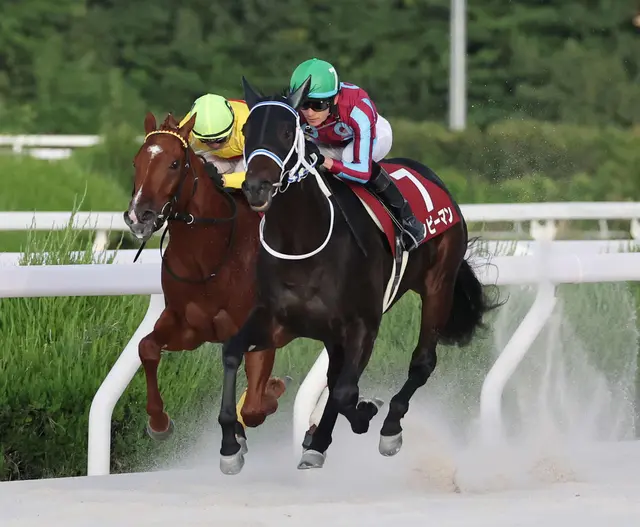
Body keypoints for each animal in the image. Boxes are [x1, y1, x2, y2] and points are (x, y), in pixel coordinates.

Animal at [122, 111, 290, 451]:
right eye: (137, 161)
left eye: (175, 164)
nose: (138, 216)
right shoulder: (189, 326)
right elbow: (147, 347)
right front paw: (159, 423)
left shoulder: (257, 328)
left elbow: (253, 408)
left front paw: (269, 392)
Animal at [214, 76, 501, 475]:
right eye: (247, 130)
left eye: (287, 131)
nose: (255, 187)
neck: (304, 240)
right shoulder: (278, 321)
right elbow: (231, 353)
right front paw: (231, 444)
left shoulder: (364, 324)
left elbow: (346, 392)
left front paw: (356, 420)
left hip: (437, 286)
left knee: (421, 362)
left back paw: (387, 426)